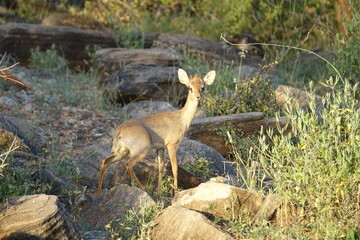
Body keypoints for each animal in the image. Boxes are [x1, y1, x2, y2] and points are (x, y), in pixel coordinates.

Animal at [96, 68, 217, 196]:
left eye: (203, 87)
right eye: (190, 87)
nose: (198, 97)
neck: (181, 118)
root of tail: (119, 131)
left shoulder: (160, 148)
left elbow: (160, 168)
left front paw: (160, 193)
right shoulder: (172, 145)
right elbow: (174, 168)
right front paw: (175, 193)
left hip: (122, 153)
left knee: (105, 161)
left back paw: (98, 193)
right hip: (142, 151)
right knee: (128, 164)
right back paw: (143, 188)